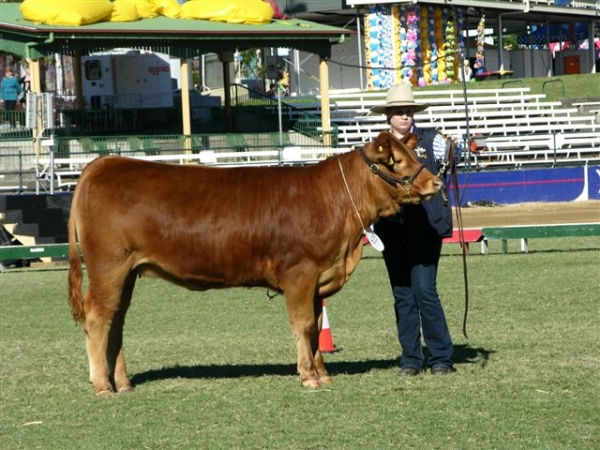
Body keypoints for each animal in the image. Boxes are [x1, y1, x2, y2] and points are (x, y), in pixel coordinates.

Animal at [69, 129, 440, 394]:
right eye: (398, 161)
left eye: (413, 154)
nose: (435, 182)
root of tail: (104, 163)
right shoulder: (300, 273)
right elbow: (304, 325)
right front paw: (308, 376)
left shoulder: (318, 280)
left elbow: (317, 325)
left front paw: (322, 373)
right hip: (108, 268)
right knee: (98, 318)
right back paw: (102, 386)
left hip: (127, 273)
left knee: (116, 321)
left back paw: (123, 383)